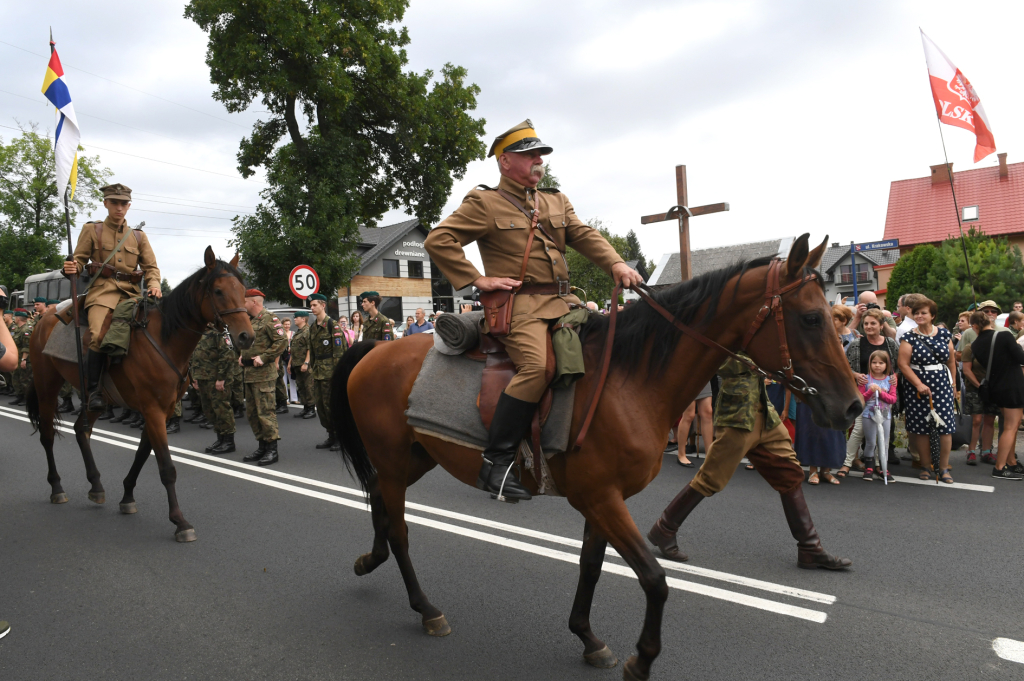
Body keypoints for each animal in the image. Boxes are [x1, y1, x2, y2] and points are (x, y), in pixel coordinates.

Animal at [26, 248, 251, 540]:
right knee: (47, 435)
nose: (246, 336)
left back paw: (96, 485)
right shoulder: (153, 409)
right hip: (47, 386)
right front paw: (179, 521)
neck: (165, 339)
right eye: (218, 290)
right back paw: (57, 488)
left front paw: (127, 497)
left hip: (96, 397)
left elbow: (143, 454)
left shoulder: (162, 410)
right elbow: (166, 466)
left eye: (243, 289)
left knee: (81, 430)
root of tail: (46, 316)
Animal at [331, 232, 860, 675]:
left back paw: (369, 560)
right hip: (396, 460)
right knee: (400, 529)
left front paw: (588, 638)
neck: (631, 378)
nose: (851, 405)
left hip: (415, 458)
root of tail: (373, 349)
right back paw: (426, 608)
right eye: (811, 318)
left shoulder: (601, 499)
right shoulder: (601, 498)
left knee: (379, 499)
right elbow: (654, 578)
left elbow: (591, 566)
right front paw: (641, 660)